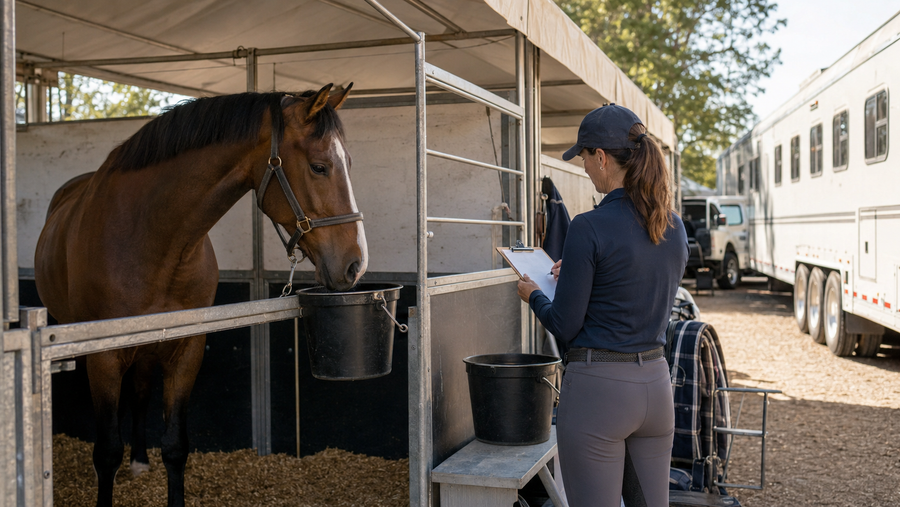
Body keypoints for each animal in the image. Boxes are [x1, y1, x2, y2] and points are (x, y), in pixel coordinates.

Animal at [34, 83, 368, 507]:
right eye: (319, 167)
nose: (356, 264)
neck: (151, 236)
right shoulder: (103, 357)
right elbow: (106, 451)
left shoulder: (187, 348)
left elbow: (176, 446)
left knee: (140, 391)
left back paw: (139, 461)